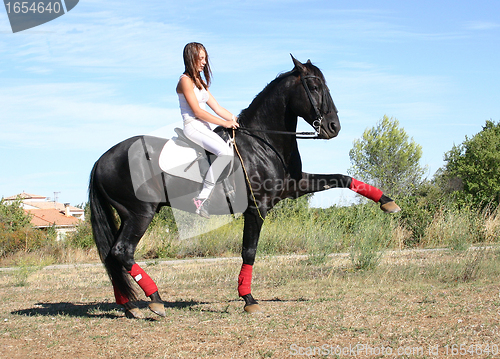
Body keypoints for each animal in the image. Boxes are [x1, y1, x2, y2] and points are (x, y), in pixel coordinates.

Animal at [90, 55, 400, 318]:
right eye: (313, 86)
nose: (333, 127)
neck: (264, 141)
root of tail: (102, 159)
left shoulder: (294, 185)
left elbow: (342, 178)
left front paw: (387, 202)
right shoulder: (257, 208)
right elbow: (249, 251)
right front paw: (248, 299)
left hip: (128, 215)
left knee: (112, 255)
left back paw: (130, 306)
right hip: (141, 213)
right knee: (122, 251)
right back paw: (154, 300)